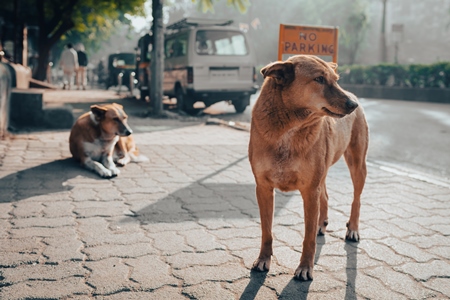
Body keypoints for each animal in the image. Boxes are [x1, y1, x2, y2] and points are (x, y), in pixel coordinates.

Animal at [250, 54, 370, 282]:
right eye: (319, 79)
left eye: (336, 79)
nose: (353, 104)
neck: (289, 128)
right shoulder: (263, 188)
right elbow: (266, 231)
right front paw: (263, 259)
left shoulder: (309, 190)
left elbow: (308, 238)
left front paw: (305, 267)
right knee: (326, 196)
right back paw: (321, 224)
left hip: (357, 164)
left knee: (357, 199)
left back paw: (353, 229)